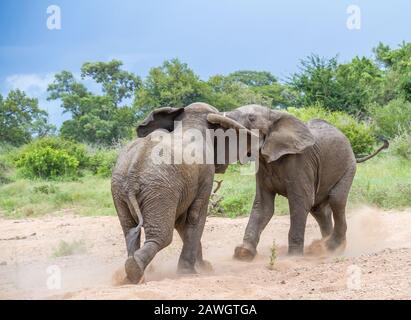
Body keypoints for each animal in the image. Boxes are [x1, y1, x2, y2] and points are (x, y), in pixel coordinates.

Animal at [112, 102, 254, 282]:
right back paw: (135, 270)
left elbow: (182, 222)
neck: (191, 122)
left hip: (121, 189)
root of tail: (133, 170)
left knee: (129, 231)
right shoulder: (206, 174)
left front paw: (204, 268)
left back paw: (129, 274)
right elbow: (195, 216)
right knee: (162, 236)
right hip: (160, 189)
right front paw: (190, 273)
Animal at [209, 104, 390, 258]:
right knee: (319, 210)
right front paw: (243, 254)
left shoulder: (300, 162)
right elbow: (263, 206)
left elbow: (300, 202)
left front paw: (294, 257)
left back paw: (331, 247)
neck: (274, 114)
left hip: (348, 166)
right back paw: (323, 247)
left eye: (251, 118)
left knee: (336, 200)